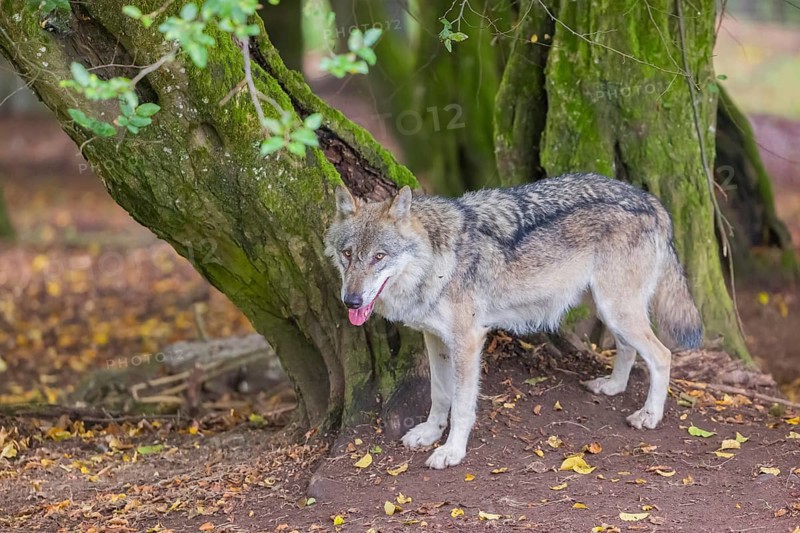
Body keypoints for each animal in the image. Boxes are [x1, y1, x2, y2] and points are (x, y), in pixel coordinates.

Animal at [324, 173, 702, 469]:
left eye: (379, 257)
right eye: (348, 254)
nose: (351, 301)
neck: (437, 259)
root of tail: (650, 200)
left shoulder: (468, 341)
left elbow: (461, 405)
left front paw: (451, 452)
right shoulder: (436, 340)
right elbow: (439, 395)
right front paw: (430, 433)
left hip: (617, 309)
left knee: (662, 355)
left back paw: (649, 416)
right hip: (607, 308)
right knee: (628, 349)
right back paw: (612, 387)